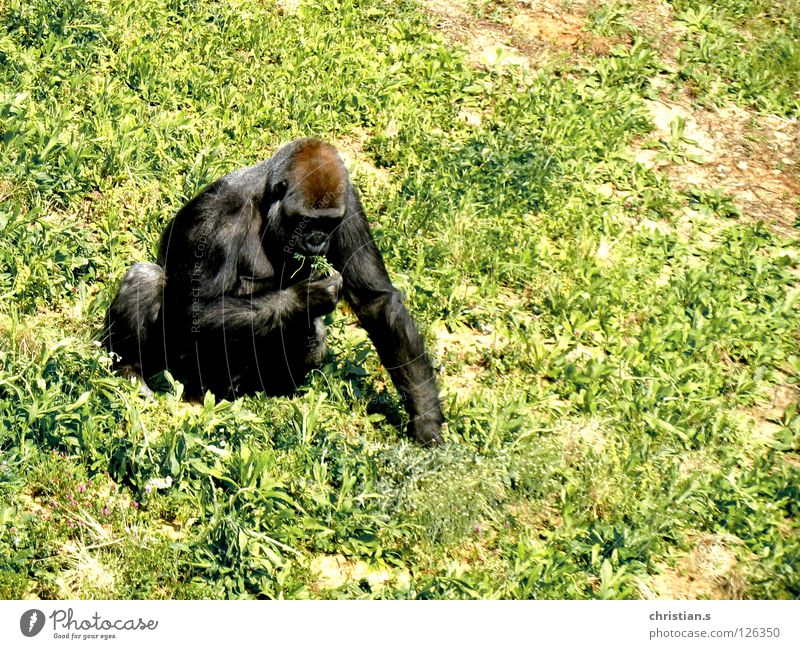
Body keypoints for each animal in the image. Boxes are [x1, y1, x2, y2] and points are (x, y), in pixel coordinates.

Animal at [101, 137, 444, 446]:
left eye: (328, 223)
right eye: (306, 221)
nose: (318, 241)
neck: (265, 202)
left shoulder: (349, 207)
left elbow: (375, 301)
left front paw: (426, 420)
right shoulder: (217, 216)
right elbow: (191, 313)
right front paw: (305, 297)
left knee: (311, 332)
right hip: (184, 375)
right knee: (146, 277)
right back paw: (131, 374)